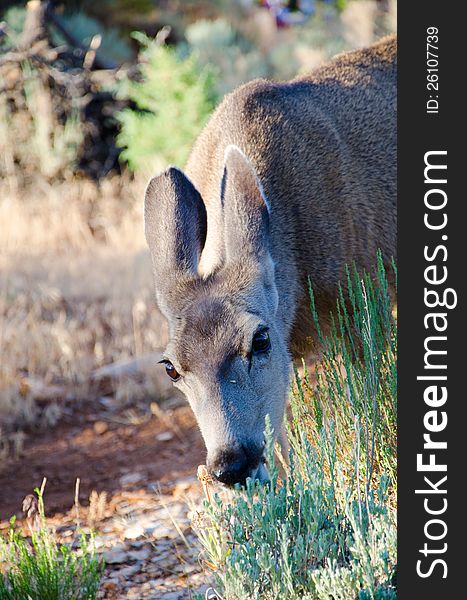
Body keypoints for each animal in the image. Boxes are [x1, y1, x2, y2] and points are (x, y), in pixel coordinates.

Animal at [144, 35, 396, 486]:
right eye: (170, 367)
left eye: (260, 339)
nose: (232, 465)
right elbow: (279, 437)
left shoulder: (367, 303)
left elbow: (368, 408)